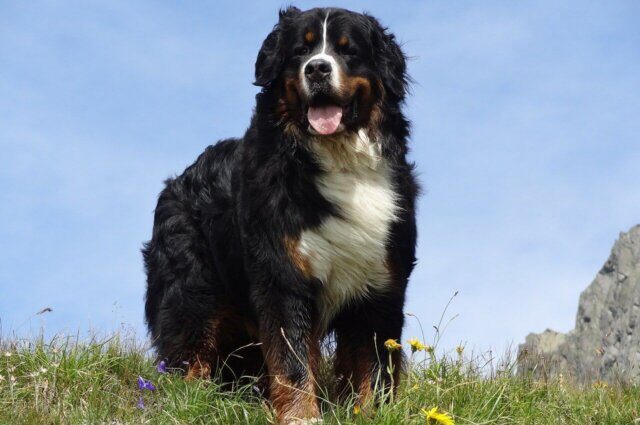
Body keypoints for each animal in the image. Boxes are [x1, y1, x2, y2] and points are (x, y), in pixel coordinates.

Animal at [142, 5, 418, 420]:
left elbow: (374, 368)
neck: (340, 162)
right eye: (300, 52)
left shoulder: (381, 285)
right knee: (189, 352)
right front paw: (302, 416)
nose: (317, 69)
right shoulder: (282, 275)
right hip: (192, 290)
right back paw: (192, 402)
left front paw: (371, 414)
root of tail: (178, 180)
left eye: (347, 50)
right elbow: (292, 361)